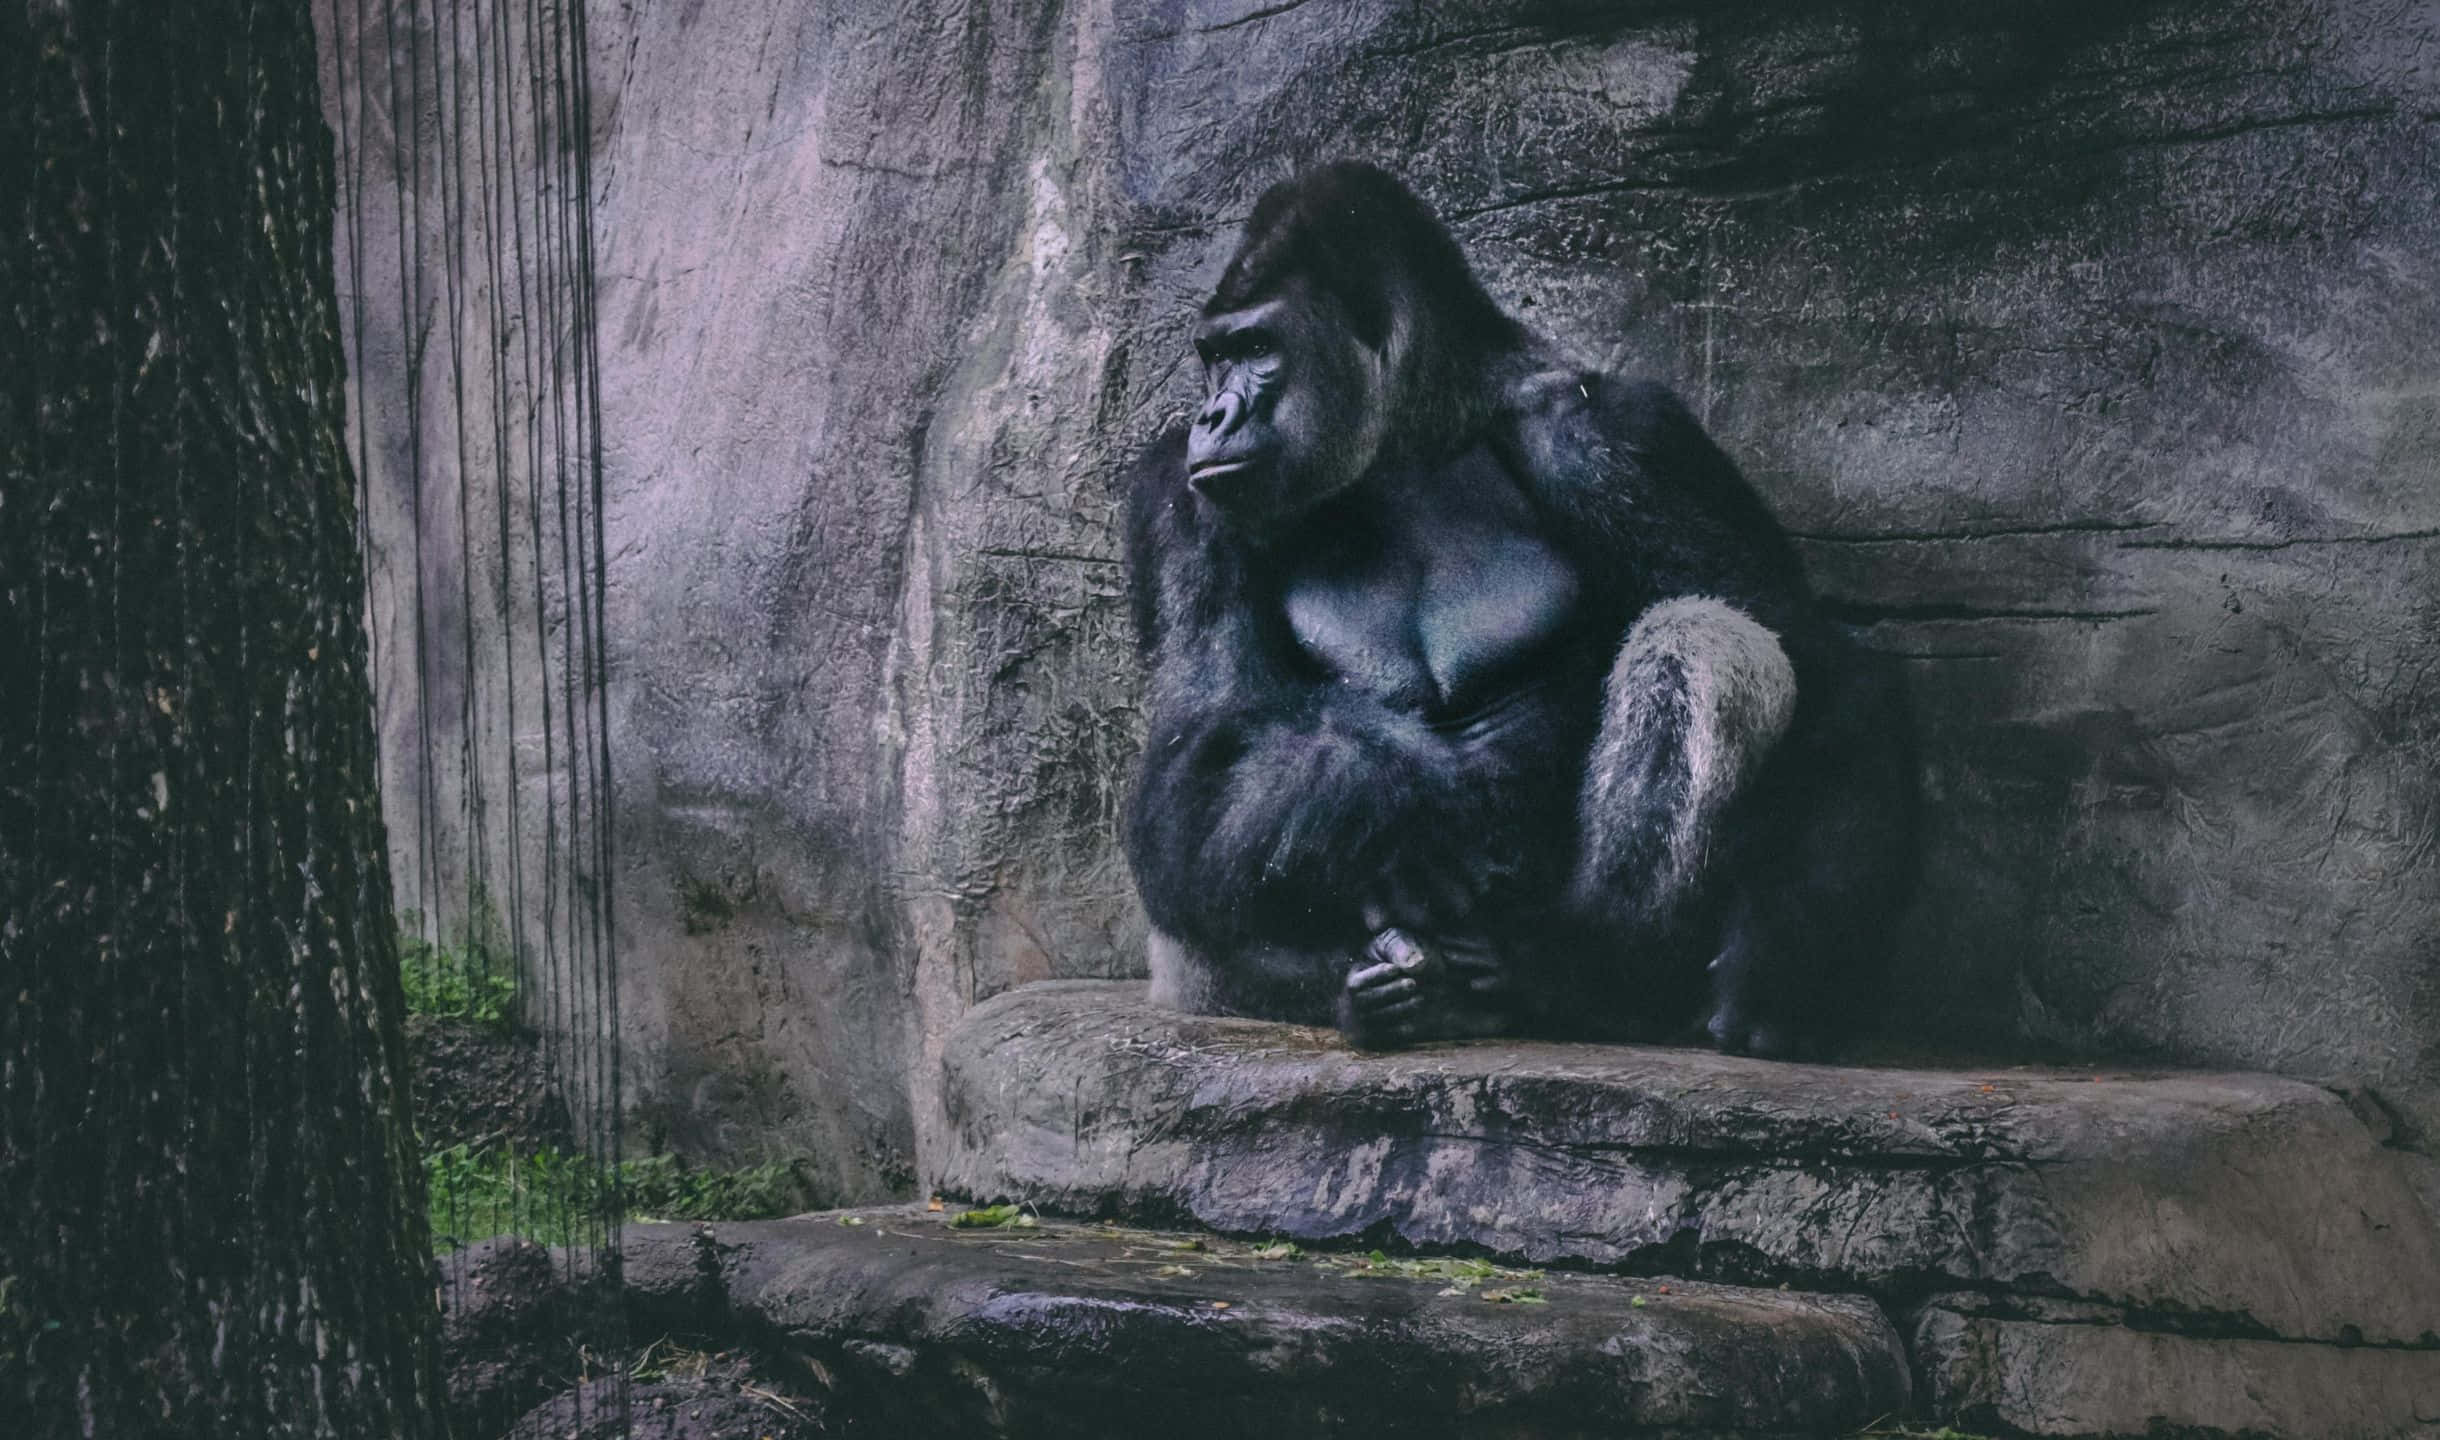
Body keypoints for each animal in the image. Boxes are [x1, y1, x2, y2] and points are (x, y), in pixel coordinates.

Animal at [1121, 162, 1917, 1056]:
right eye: (1213, 357)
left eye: (1257, 351)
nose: (1210, 416)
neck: (1416, 431)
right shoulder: (1178, 494)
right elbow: (1203, 733)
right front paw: (1357, 783)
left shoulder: (1619, 433)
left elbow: (1816, 657)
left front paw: (1786, 955)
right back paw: (1381, 992)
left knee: (1700, 635)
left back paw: (1579, 973)